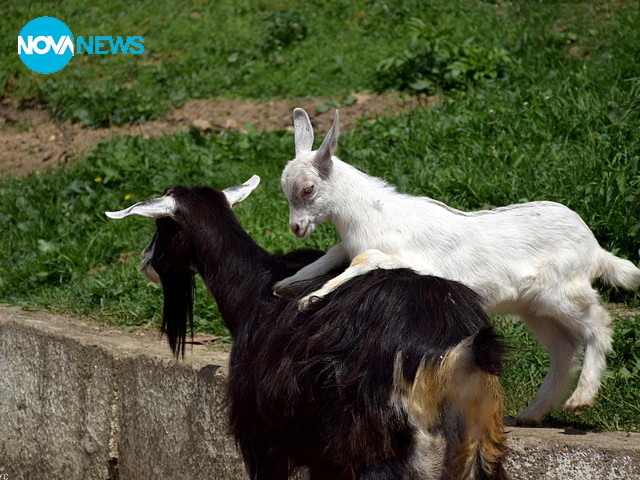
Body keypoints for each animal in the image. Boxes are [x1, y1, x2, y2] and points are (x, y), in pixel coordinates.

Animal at [109, 178, 510, 480]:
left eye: (161, 226)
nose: (144, 261)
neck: (253, 288)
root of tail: (459, 350)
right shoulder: (320, 456)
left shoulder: (262, 438)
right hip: (479, 450)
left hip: (380, 453)